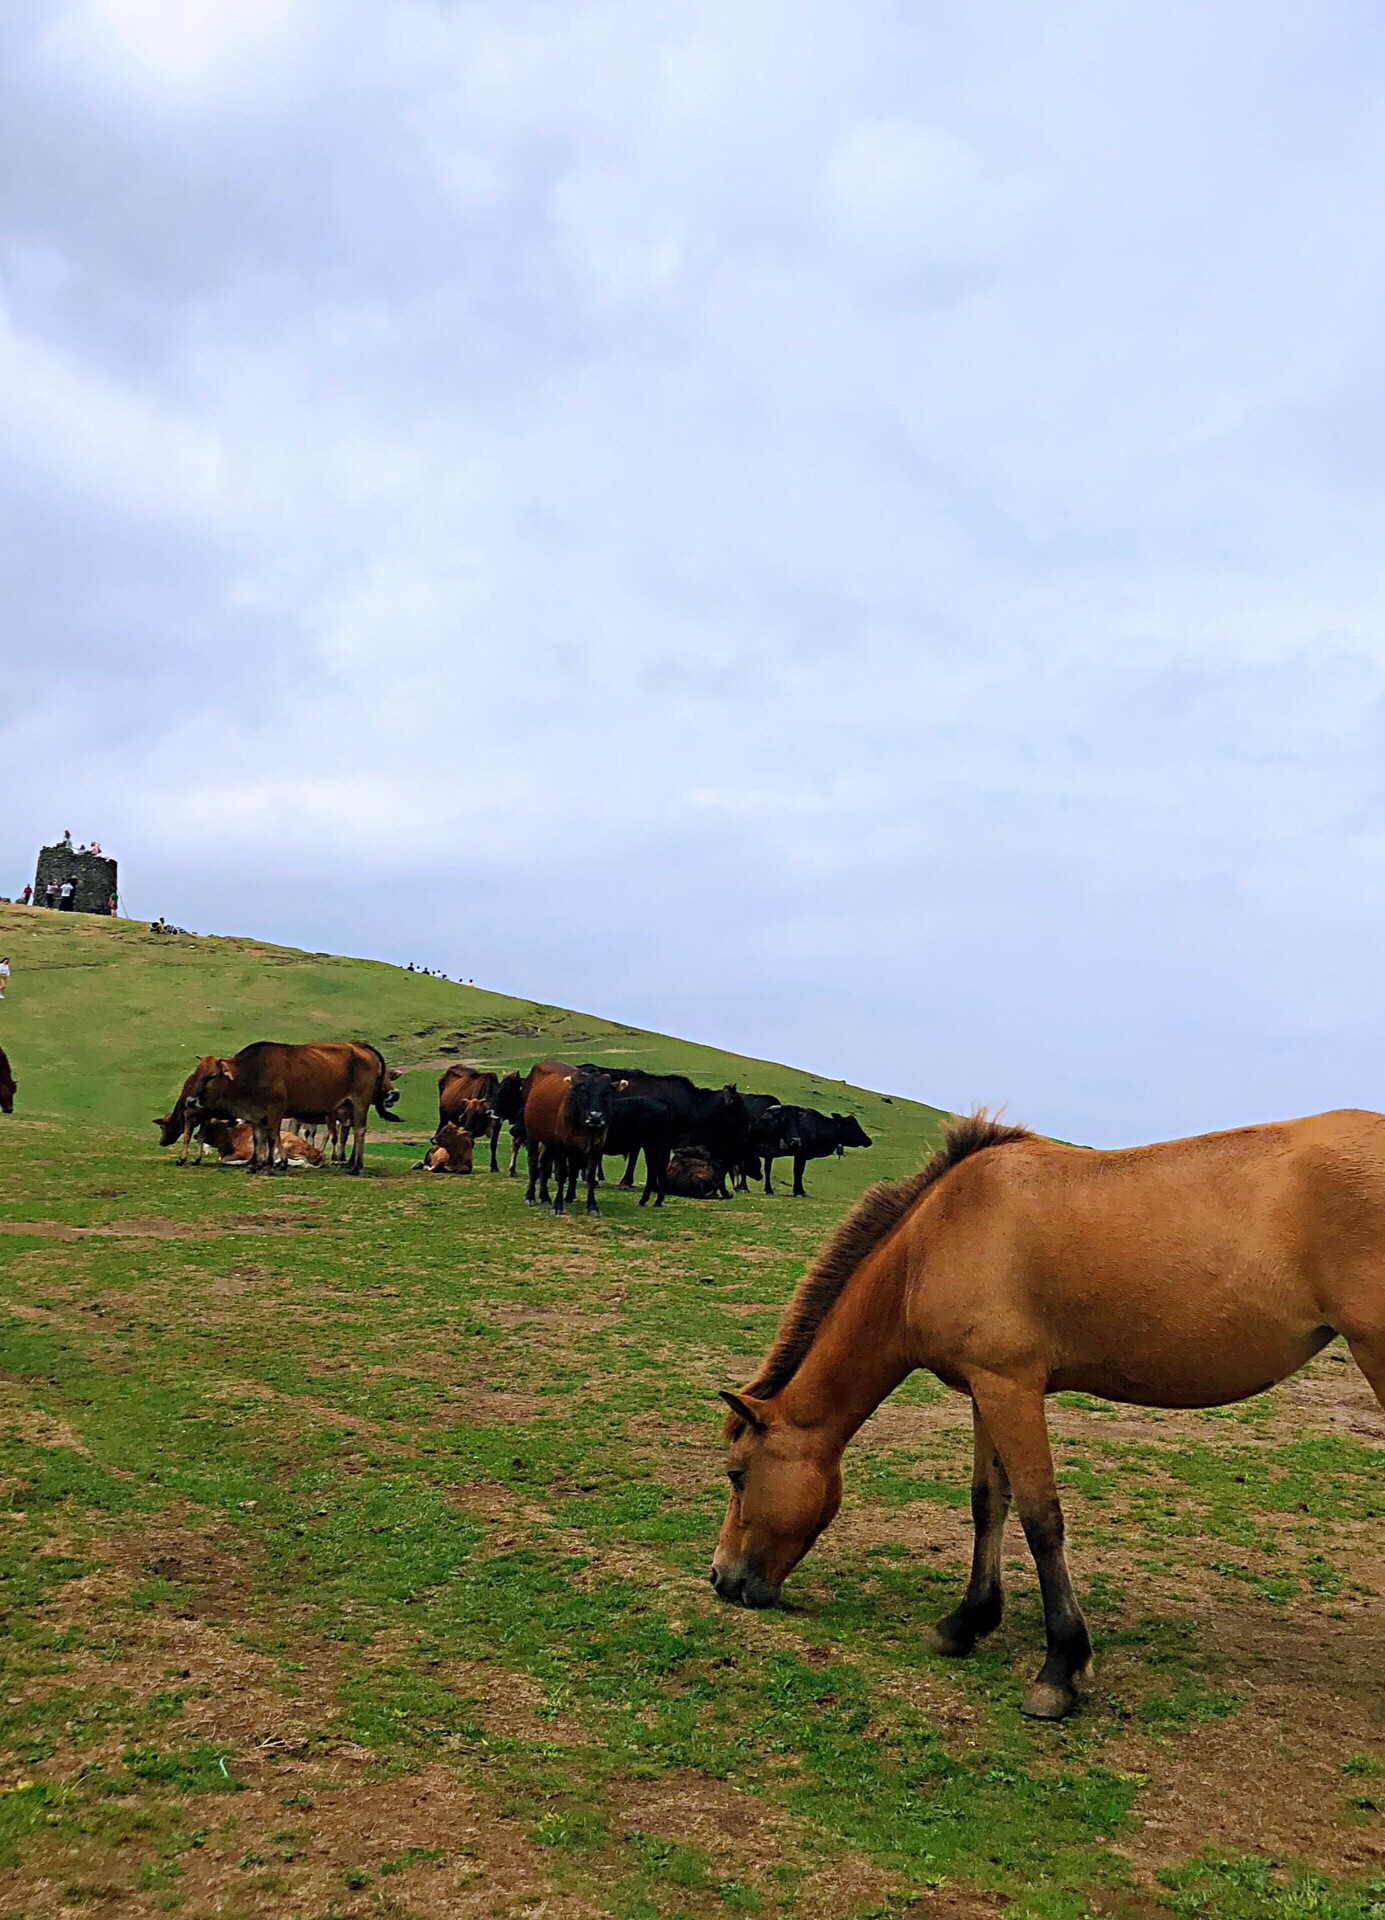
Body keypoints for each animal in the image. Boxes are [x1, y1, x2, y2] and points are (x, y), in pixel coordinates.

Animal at [714, 1113, 1385, 1728]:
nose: (721, 1578)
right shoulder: (985, 1389)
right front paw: (966, 1622)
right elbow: (989, 1503)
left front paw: (1059, 1669)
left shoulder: (1012, 1388)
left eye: (737, 1474)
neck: (936, 1238)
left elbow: (1041, 1520)